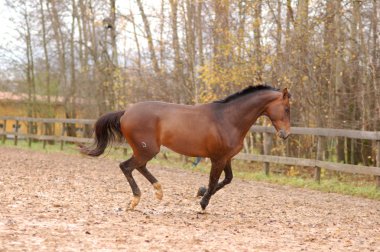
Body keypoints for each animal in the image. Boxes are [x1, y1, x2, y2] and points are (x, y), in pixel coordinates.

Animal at [81, 85, 292, 210]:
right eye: (287, 108)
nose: (286, 134)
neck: (228, 119)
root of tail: (126, 112)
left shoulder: (226, 158)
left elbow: (227, 179)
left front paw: (200, 192)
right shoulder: (217, 158)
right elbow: (214, 180)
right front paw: (203, 203)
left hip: (145, 150)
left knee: (138, 167)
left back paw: (158, 191)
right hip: (147, 150)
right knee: (126, 167)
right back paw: (135, 200)